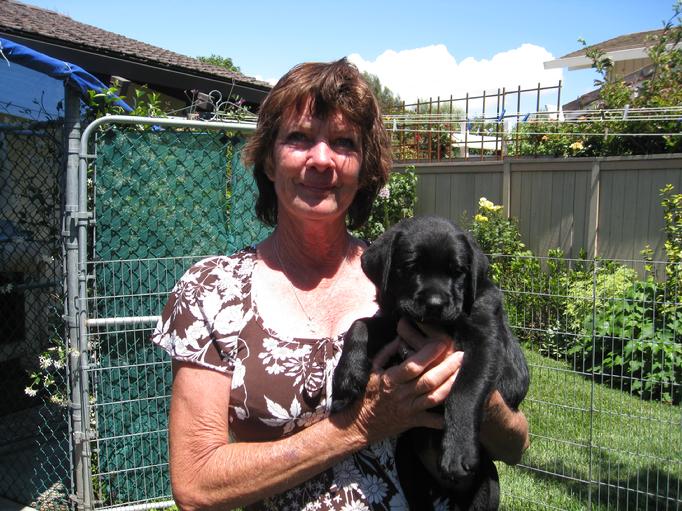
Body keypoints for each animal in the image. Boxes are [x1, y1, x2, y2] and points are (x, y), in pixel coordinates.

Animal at [332, 216, 528, 511]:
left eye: (458, 271)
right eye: (411, 267)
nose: (435, 304)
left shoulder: (485, 345)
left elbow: (464, 391)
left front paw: (457, 450)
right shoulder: (396, 319)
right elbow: (360, 325)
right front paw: (347, 376)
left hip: (488, 484)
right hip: (407, 461)